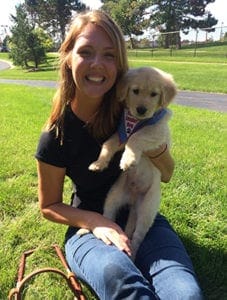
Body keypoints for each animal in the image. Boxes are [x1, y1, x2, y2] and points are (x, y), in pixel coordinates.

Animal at [88, 67, 176, 258]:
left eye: (154, 94)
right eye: (135, 91)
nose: (141, 110)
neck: (137, 122)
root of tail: (135, 201)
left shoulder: (157, 134)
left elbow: (136, 137)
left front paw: (128, 160)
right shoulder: (120, 135)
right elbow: (108, 144)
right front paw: (99, 163)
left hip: (147, 210)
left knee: (137, 237)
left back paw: (133, 253)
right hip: (113, 196)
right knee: (110, 218)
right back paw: (109, 231)